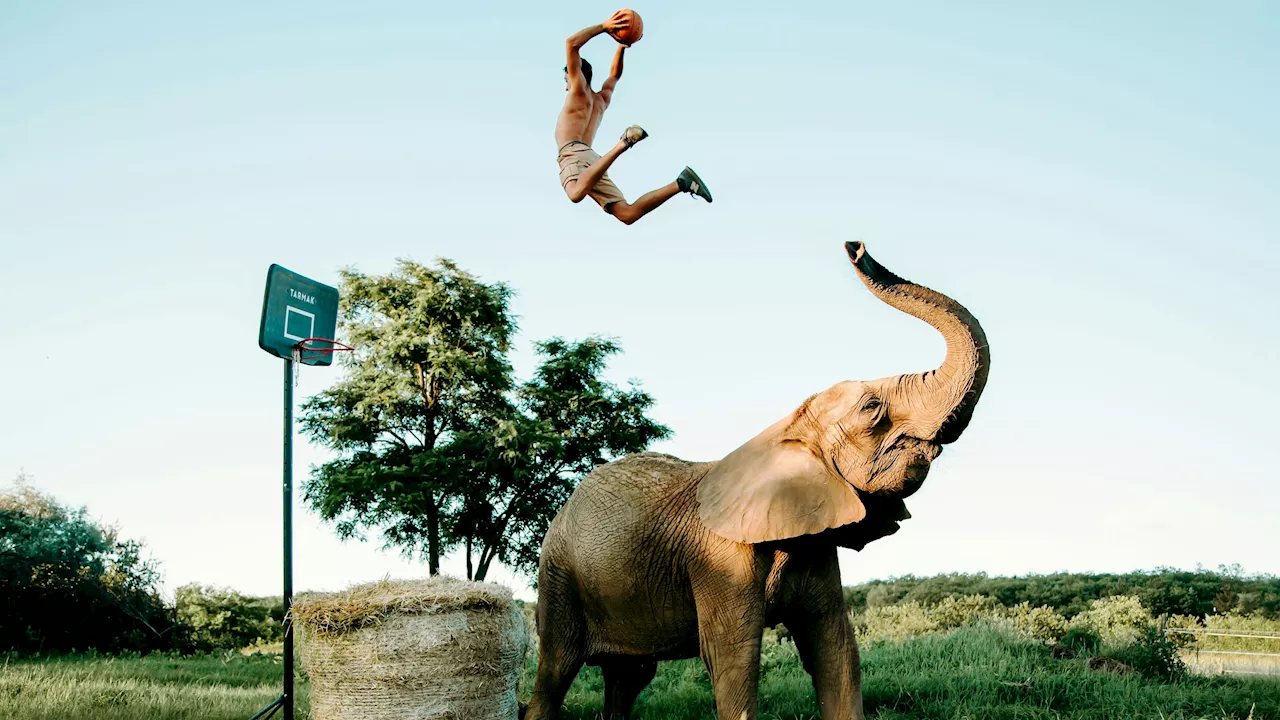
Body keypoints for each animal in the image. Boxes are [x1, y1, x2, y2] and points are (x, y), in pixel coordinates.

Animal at [519, 242, 988, 717]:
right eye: (872, 409)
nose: (855, 248)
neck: (786, 429)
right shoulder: (720, 557)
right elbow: (733, 655)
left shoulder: (814, 543)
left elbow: (836, 649)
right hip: (558, 577)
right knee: (558, 667)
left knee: (629, 676)